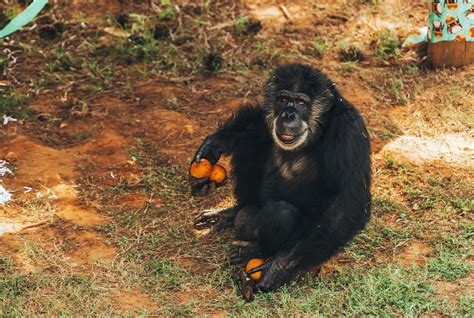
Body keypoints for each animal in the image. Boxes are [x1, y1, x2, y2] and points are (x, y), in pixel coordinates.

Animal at [191, 63, 372, 292]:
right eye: (283, 99)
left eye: (302, 103)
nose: (288, 115)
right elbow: (258, 120)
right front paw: (213, 144)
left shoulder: (350, 133)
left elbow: (346, 204)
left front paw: (278, 267)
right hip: (252, 213)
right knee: (251, 141)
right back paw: (232, 212)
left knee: (282, 213)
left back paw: (255, 251)